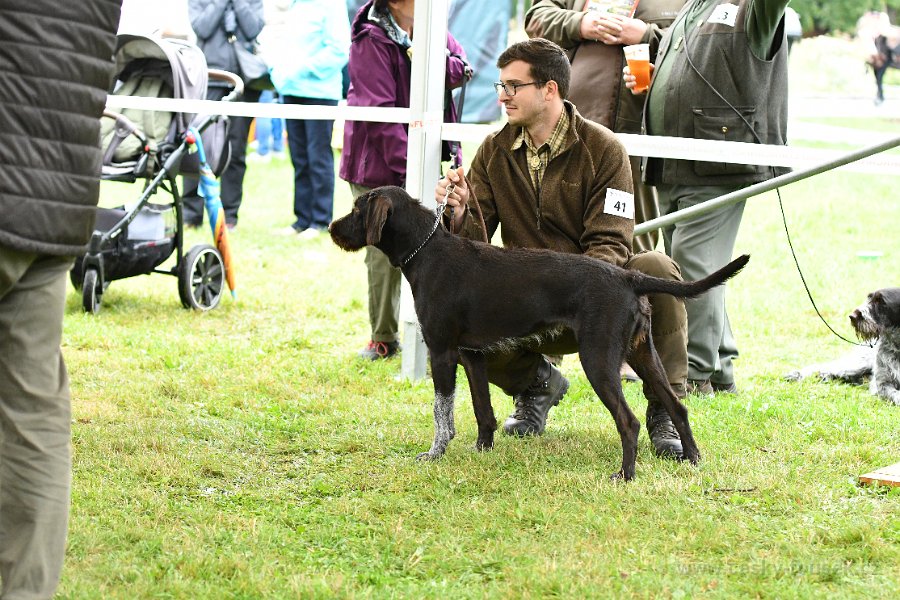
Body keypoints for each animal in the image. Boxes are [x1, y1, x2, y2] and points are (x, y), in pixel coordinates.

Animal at [326, 185, 748, 480]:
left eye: (357, 209)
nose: (330, 228)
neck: (426, 252)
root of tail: (627, 277)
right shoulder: (472, 356)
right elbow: (483, 411)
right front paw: (482, 450)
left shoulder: (441, 352)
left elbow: (441, 413)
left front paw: (435, 454)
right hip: (643, 354)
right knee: (678, 406)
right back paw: (693, 461)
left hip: (599, 360)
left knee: (628, 421)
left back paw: (625, 475)